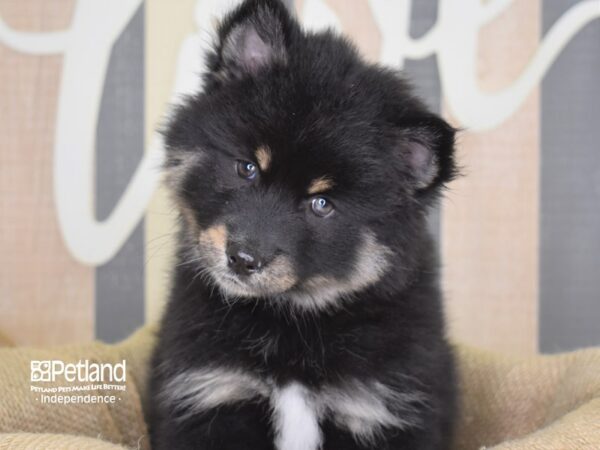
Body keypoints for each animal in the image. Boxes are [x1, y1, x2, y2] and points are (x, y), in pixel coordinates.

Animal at [149, 1, 454, 448]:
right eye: (247, 168)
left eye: (321, 204)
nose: (243, 258)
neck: (290, 322)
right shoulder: (211, 393)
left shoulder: (376, 409)